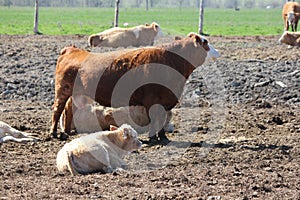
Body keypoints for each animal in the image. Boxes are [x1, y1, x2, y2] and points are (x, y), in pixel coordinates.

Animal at [51, 32, 220, 141]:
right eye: (205, 43)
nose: (217, 52)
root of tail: (72, 50)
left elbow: (161, 118)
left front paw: (163, 137)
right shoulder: (152, 100)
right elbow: (155, 118)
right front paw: (153, 138)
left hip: (76, 94)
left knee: (68, 110)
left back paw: (66, 132)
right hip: (62, 91)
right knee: (57, 110)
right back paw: (53, 134)